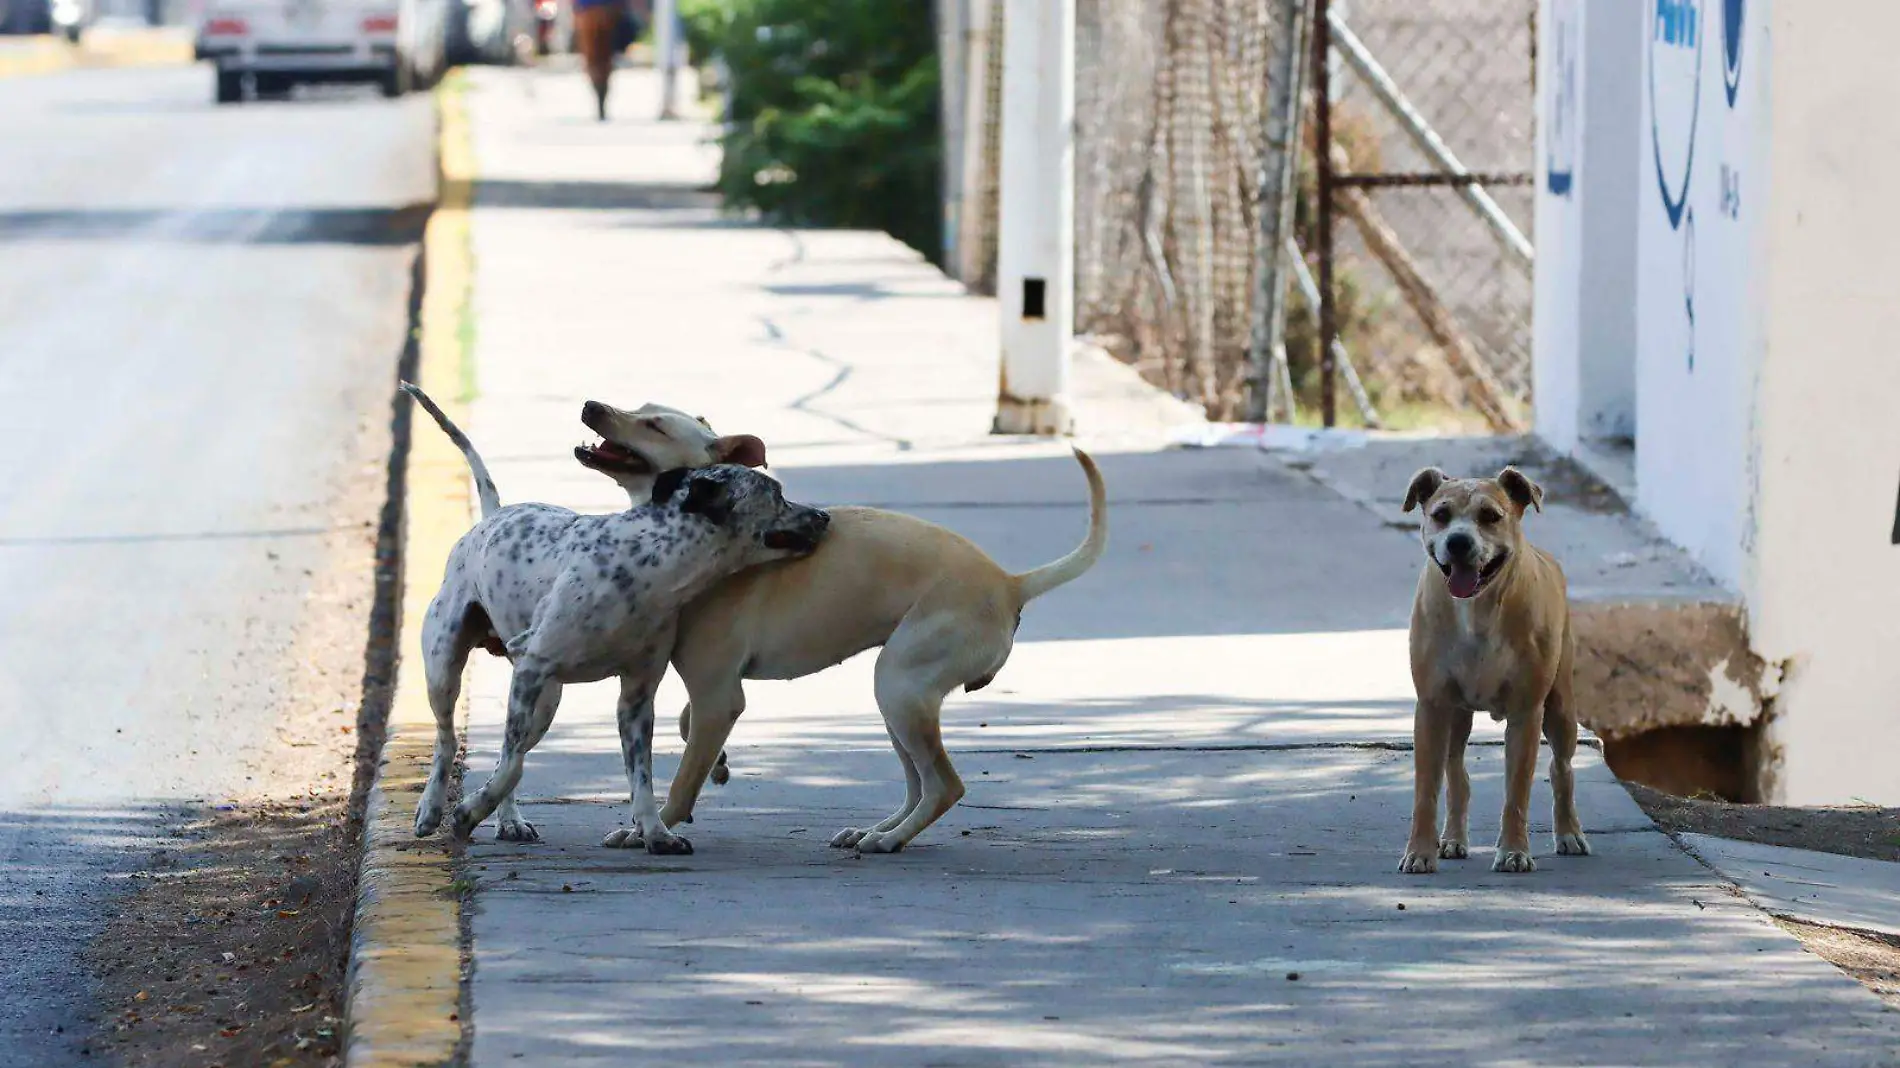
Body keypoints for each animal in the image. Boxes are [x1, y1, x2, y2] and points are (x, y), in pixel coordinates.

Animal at [404, 381, 828, 847]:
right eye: (778, 494)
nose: (824, 515)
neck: (649, 567)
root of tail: (492, 516)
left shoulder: (637, 696)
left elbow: (640, 775)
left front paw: (655, 832)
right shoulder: (533, 665)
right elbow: (511, 764)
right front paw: (465, 812)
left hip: (545, 702)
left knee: (504, 753)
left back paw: (508, 818)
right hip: (448, 668)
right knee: (451, 741)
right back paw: (434, 808)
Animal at [1398, 465, 1588, 874]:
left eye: (1491, 516)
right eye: (1440, 514)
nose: (1458, 542)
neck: (1478, 609)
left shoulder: (1526, 712)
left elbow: (1516, 790)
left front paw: (1514, 851)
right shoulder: (1432, 706)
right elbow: (1426, 790)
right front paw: (1420, 851)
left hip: (1562, 705)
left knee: (1561, 767)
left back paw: (1569, 832)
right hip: (1456, 716)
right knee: (1456, 771)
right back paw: (1453, 839)